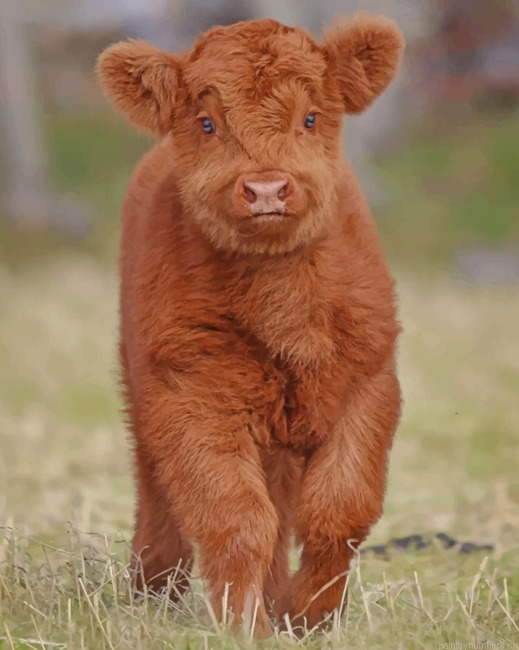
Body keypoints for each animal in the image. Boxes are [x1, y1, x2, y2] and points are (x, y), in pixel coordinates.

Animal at [97, 13, 404, 636]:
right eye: (207, 122)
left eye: (310, 116)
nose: (266, 189)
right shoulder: (192, 396)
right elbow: (235, 519)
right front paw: (243, 626)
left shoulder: (370, 385)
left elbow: (340, 510)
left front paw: (310, 618)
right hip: (144, 393)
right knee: (159, 493)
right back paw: (153, 592)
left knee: (284, 511)